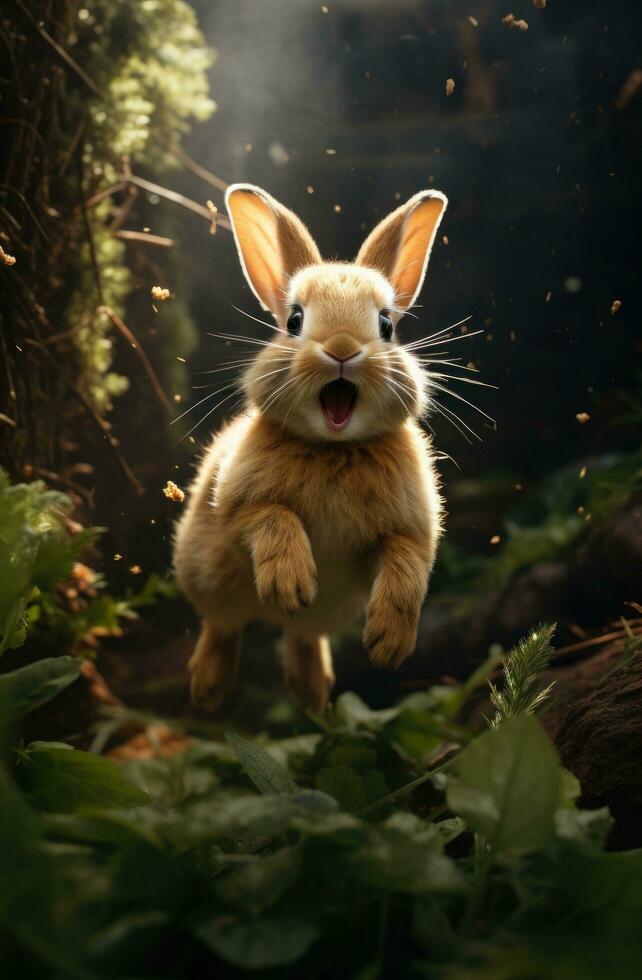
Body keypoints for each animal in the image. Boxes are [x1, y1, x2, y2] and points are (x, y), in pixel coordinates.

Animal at [172, 182, 448, 712]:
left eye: (386, 325)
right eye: (295, 321)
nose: (341, 348)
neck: (333, 448)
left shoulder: (410, 532)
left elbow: (406, 567)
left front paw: (389, 643)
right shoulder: (239, 504)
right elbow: (272, 517)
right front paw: (291, 584)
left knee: (302, 636)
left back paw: (312, 694)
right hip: (209, 576)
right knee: (222, 625)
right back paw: (208, 689)